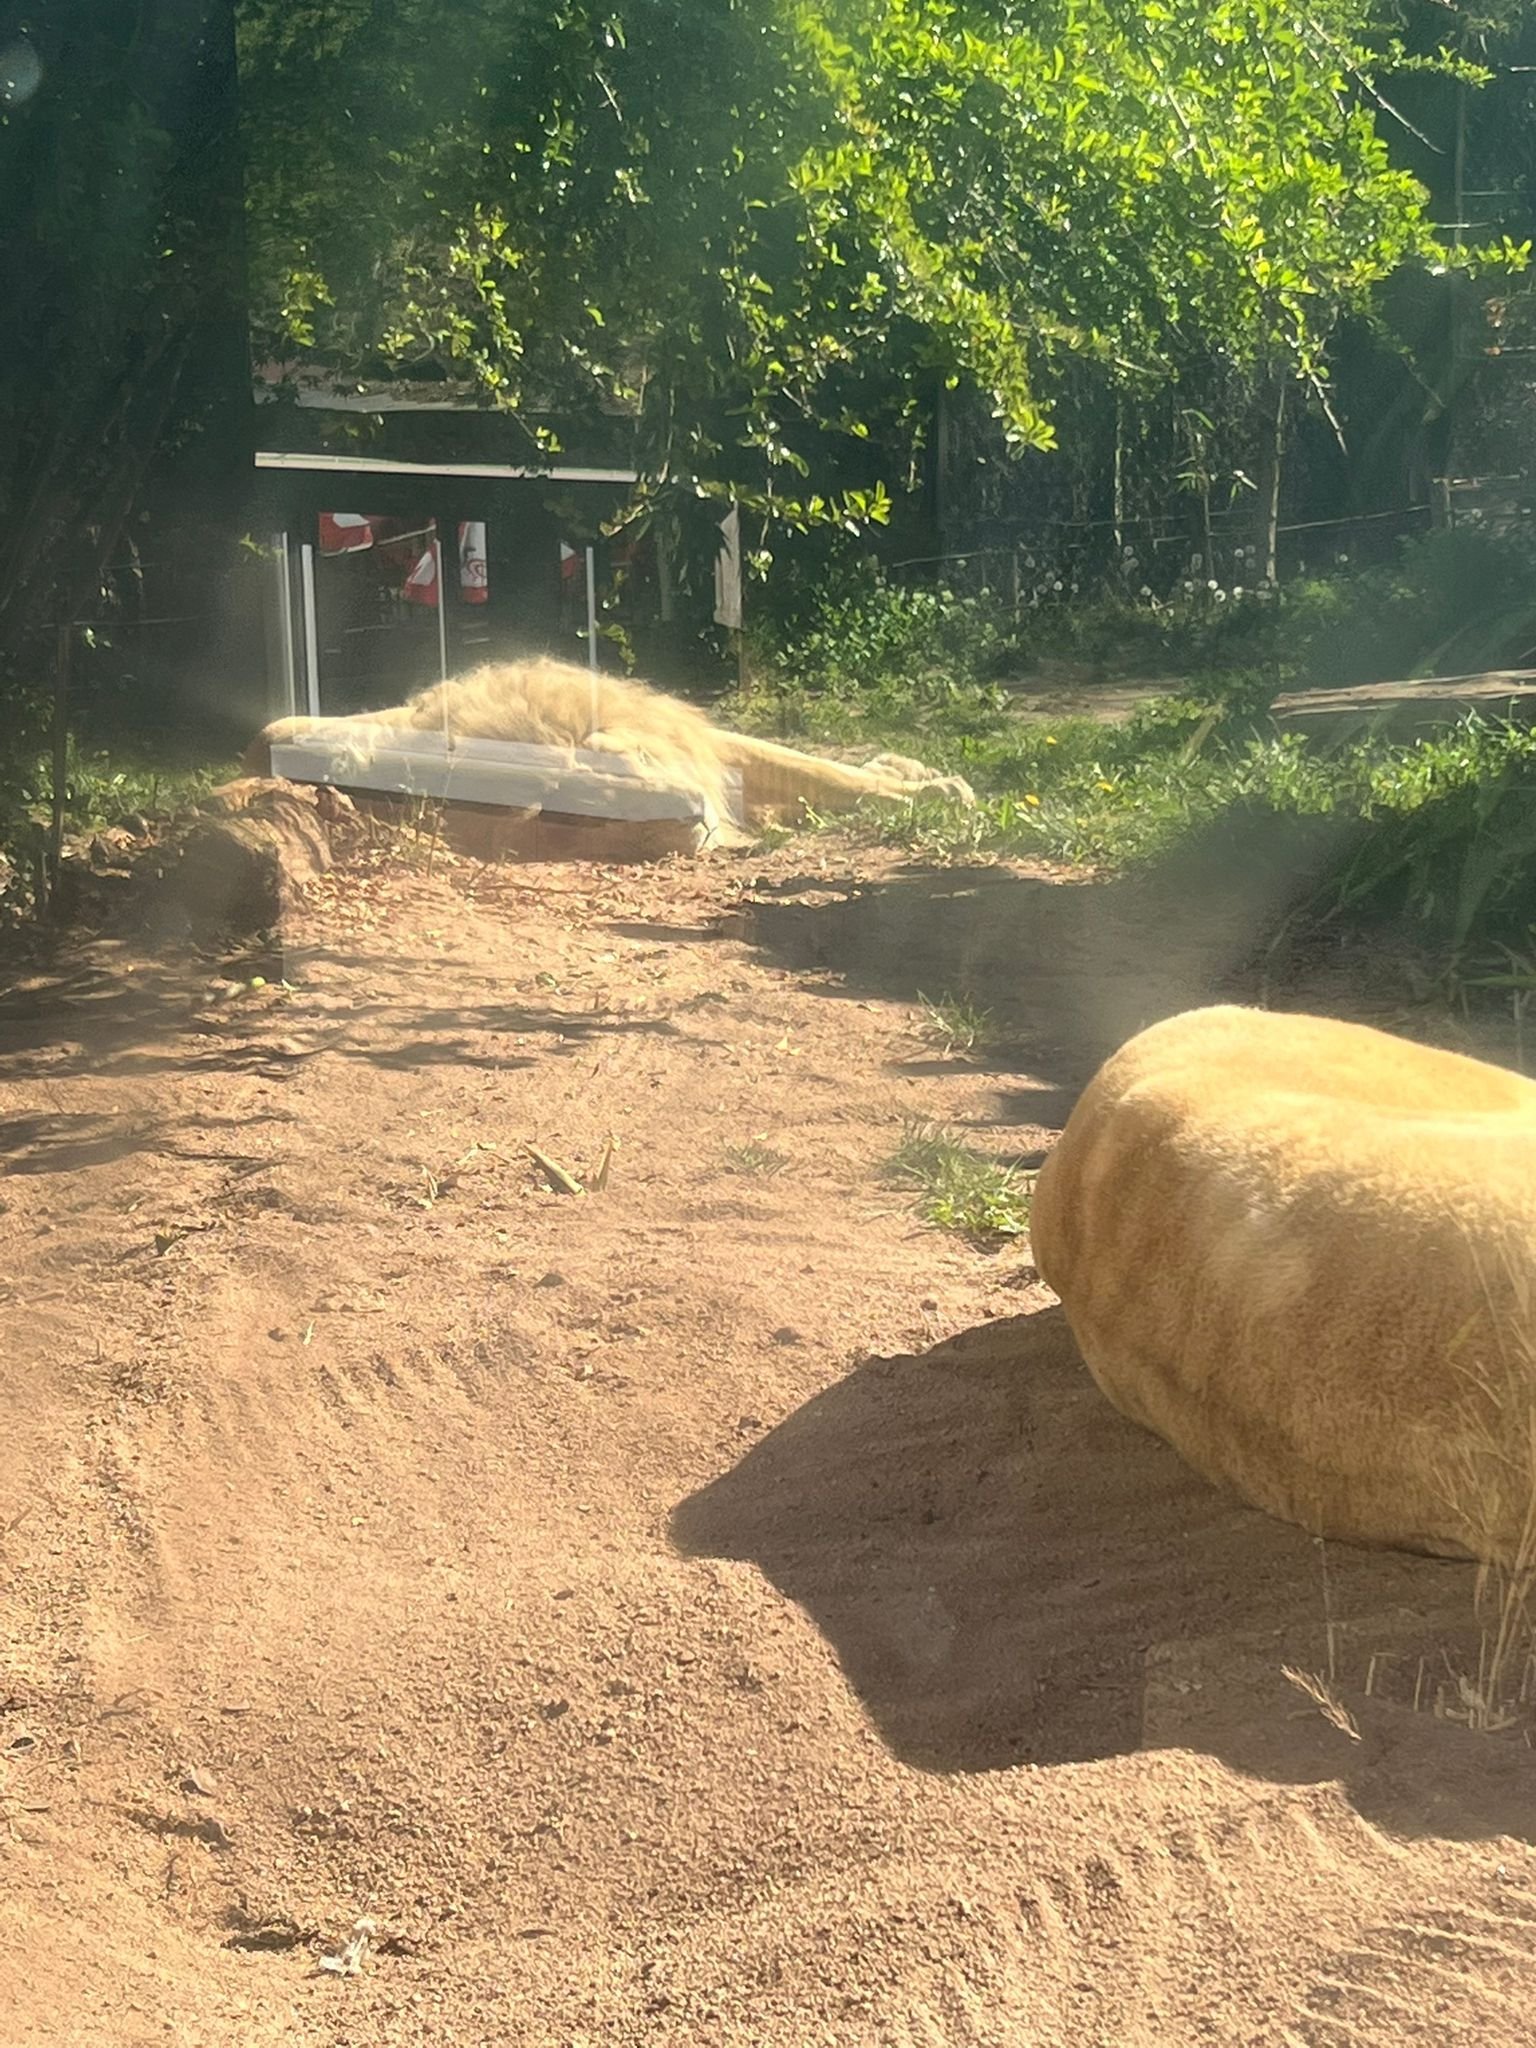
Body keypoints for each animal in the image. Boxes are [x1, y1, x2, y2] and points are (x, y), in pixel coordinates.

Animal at [244, 656, 974, 849]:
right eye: (598, 820)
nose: (691, 817)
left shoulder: (700, 738)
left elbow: (823, 769)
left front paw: (924, 780)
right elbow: (830, 779)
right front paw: (943, 794)